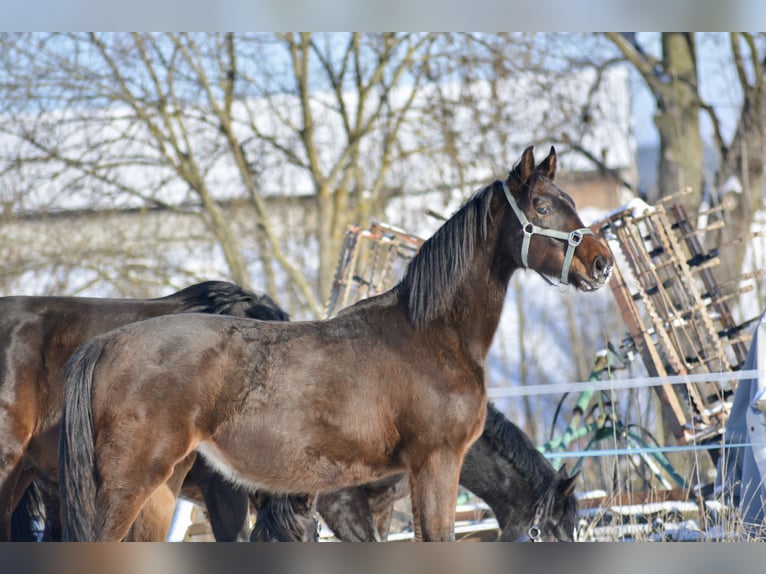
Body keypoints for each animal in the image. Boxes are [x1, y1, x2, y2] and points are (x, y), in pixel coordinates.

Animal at [58, 145, 613, 542]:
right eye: (543, 206)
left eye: (572, 202)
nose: (602, 263)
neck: (430, 334)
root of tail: (105, 345)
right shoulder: (432, 467)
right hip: (131, 483)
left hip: (164, 486)